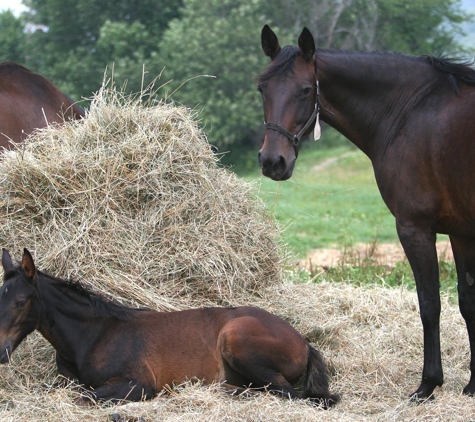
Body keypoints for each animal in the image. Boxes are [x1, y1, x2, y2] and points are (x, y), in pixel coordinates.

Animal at [0, 249, 338, 408]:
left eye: (20, 302)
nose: (1, 352)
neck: (94, 335)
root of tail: (303, 342)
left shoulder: (138, 383)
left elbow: (84, 398)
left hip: (235, 338)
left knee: (288, 393)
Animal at [258, 24, 475, 400]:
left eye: (305, 90)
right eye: (262, 88)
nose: (273, 161)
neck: (411, 111)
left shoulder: (415, 228)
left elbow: (430, 304)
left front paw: (428, 384)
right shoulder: (460, 231)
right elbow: (467, 301)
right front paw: (473, 384)